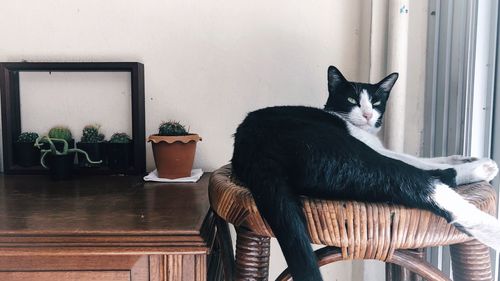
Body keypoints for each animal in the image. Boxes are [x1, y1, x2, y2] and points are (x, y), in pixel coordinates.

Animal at [231, 65, 500, 280]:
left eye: (377, 102)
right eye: (352, 100)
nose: (368, 114)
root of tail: (256, 152)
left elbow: (427, 159)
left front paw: (463, 157)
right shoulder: (375, 148)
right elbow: (419, 162)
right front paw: (471, 162)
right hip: (353, 153)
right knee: (425, 182)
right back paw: (485, 185)